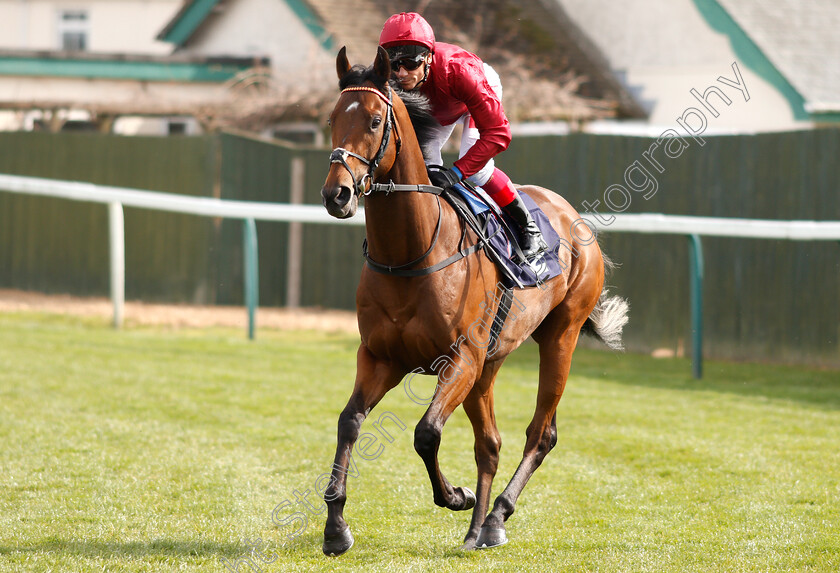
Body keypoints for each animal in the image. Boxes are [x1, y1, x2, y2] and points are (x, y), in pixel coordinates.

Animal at [318, 48, 628, 556]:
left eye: (375, 119)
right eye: (331, 119)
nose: (336, 193)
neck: (411, 253)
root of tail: (572, 216)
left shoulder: (459, 358)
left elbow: (426, 433)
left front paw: (455, 496)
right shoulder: (381, 358)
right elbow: (349, 422)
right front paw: (336, 527)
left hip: (559, 337)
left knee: (540, 434)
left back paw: (497, 514)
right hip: (489, 364)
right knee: (491, 443)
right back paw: (479, 528)